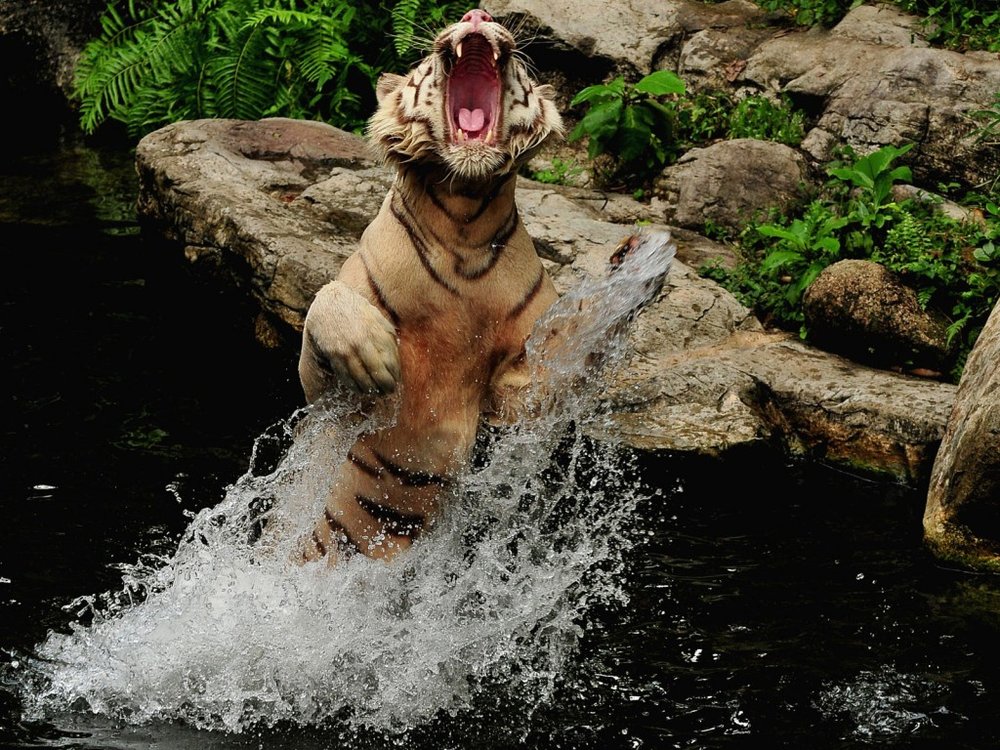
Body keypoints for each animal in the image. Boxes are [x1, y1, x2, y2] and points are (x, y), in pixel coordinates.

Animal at [296, 9, 669, 565]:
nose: (478, 15)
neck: (463, 223)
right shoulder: (325, 399)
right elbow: (324, 303)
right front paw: (373, 356)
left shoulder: (518, 395)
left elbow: (572, 347)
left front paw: (637, 264)